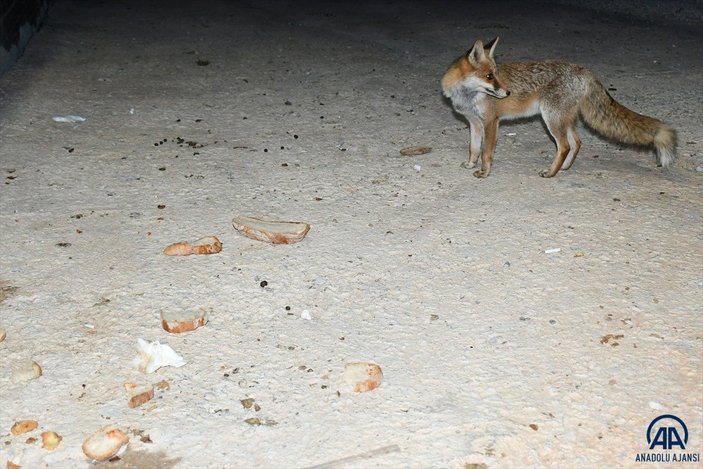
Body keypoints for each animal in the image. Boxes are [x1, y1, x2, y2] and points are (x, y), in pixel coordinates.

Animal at [440, 38, 676, 177]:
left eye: (496, 74)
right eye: (490, 76)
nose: (507, 93)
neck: (467, 96)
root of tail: (583, 70)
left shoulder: (491, 122)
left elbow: (486, 152)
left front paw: (484, 172)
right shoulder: (474, 123)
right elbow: (474, 149)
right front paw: (470, 164)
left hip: (551, 118)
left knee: (564, 146)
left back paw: (551, 173)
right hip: (562, 119)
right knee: (576, 143)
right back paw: (564, 168)